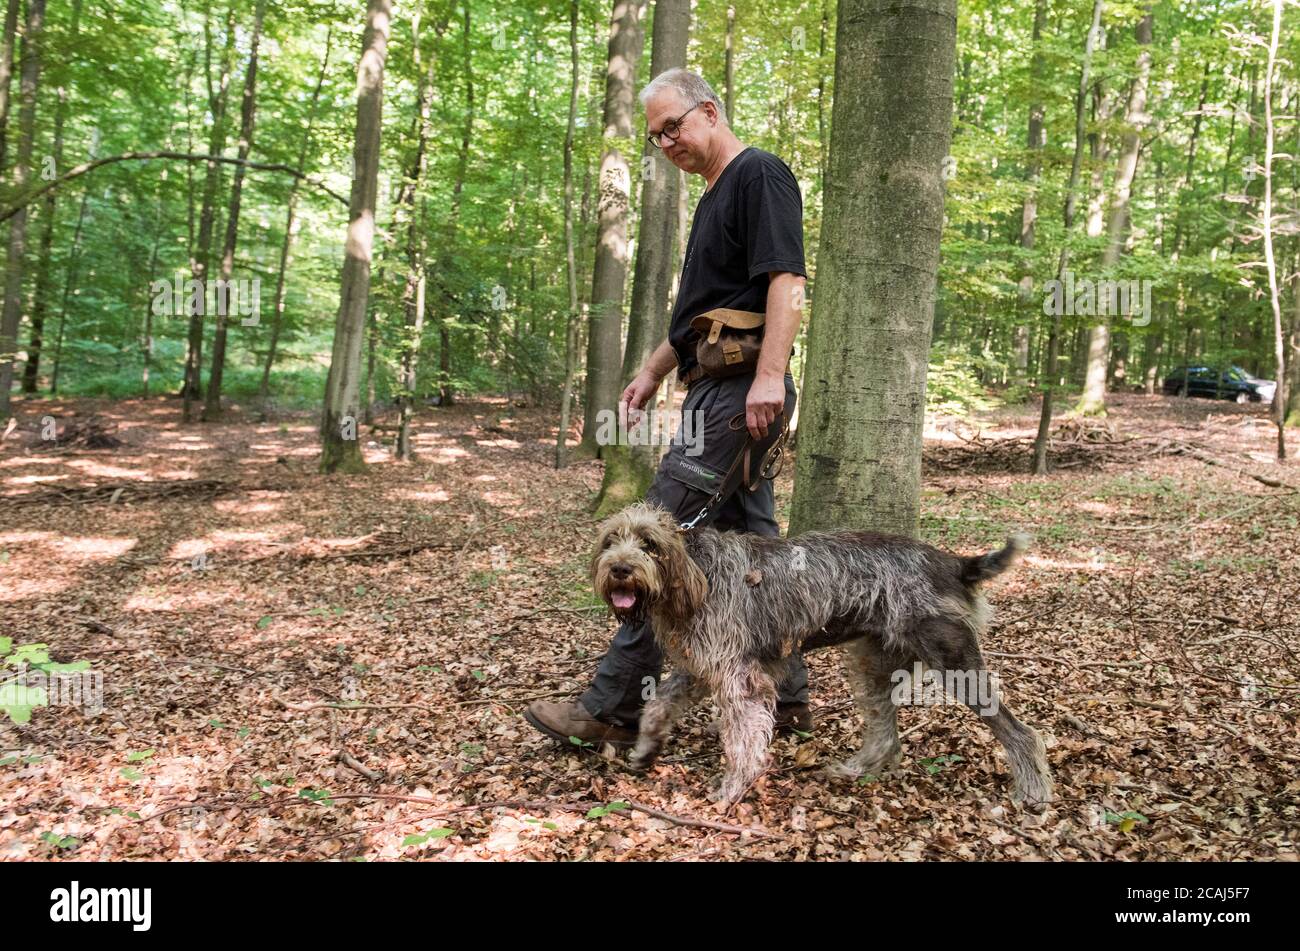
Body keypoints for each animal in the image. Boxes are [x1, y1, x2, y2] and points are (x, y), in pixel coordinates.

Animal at [595, 501, 1050, 805]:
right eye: (610, 541)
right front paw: (646, 748)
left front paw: (730, 789)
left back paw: (1033, 794)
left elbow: (741, 743)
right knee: (886, 734)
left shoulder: (739, 677)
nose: (619, 569)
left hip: (956, 664)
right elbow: (657, 706)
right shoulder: (701, 670)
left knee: (1021, 733)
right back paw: (855, 769)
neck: (695, 571)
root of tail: (953, 562)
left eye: (649, 544)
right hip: (872, 666)